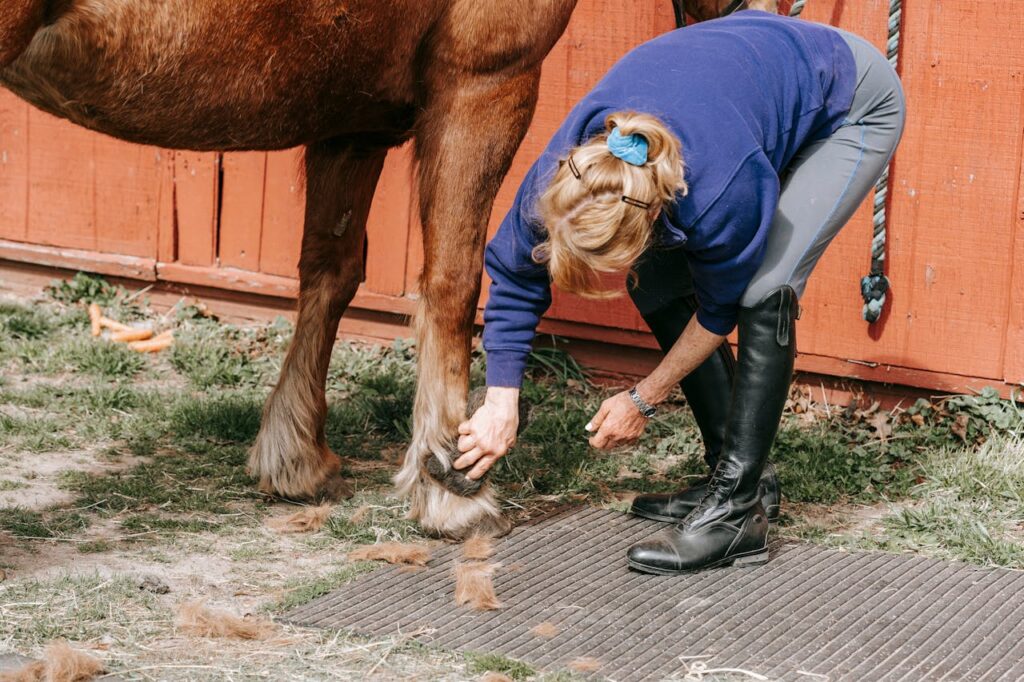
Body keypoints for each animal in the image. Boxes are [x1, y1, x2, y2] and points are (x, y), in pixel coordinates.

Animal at [0, 0, 778, 540]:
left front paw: (295, 457)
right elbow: (453, 280)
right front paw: (453, 483)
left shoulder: (353, 122)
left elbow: (332, 269)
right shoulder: (483, 85)